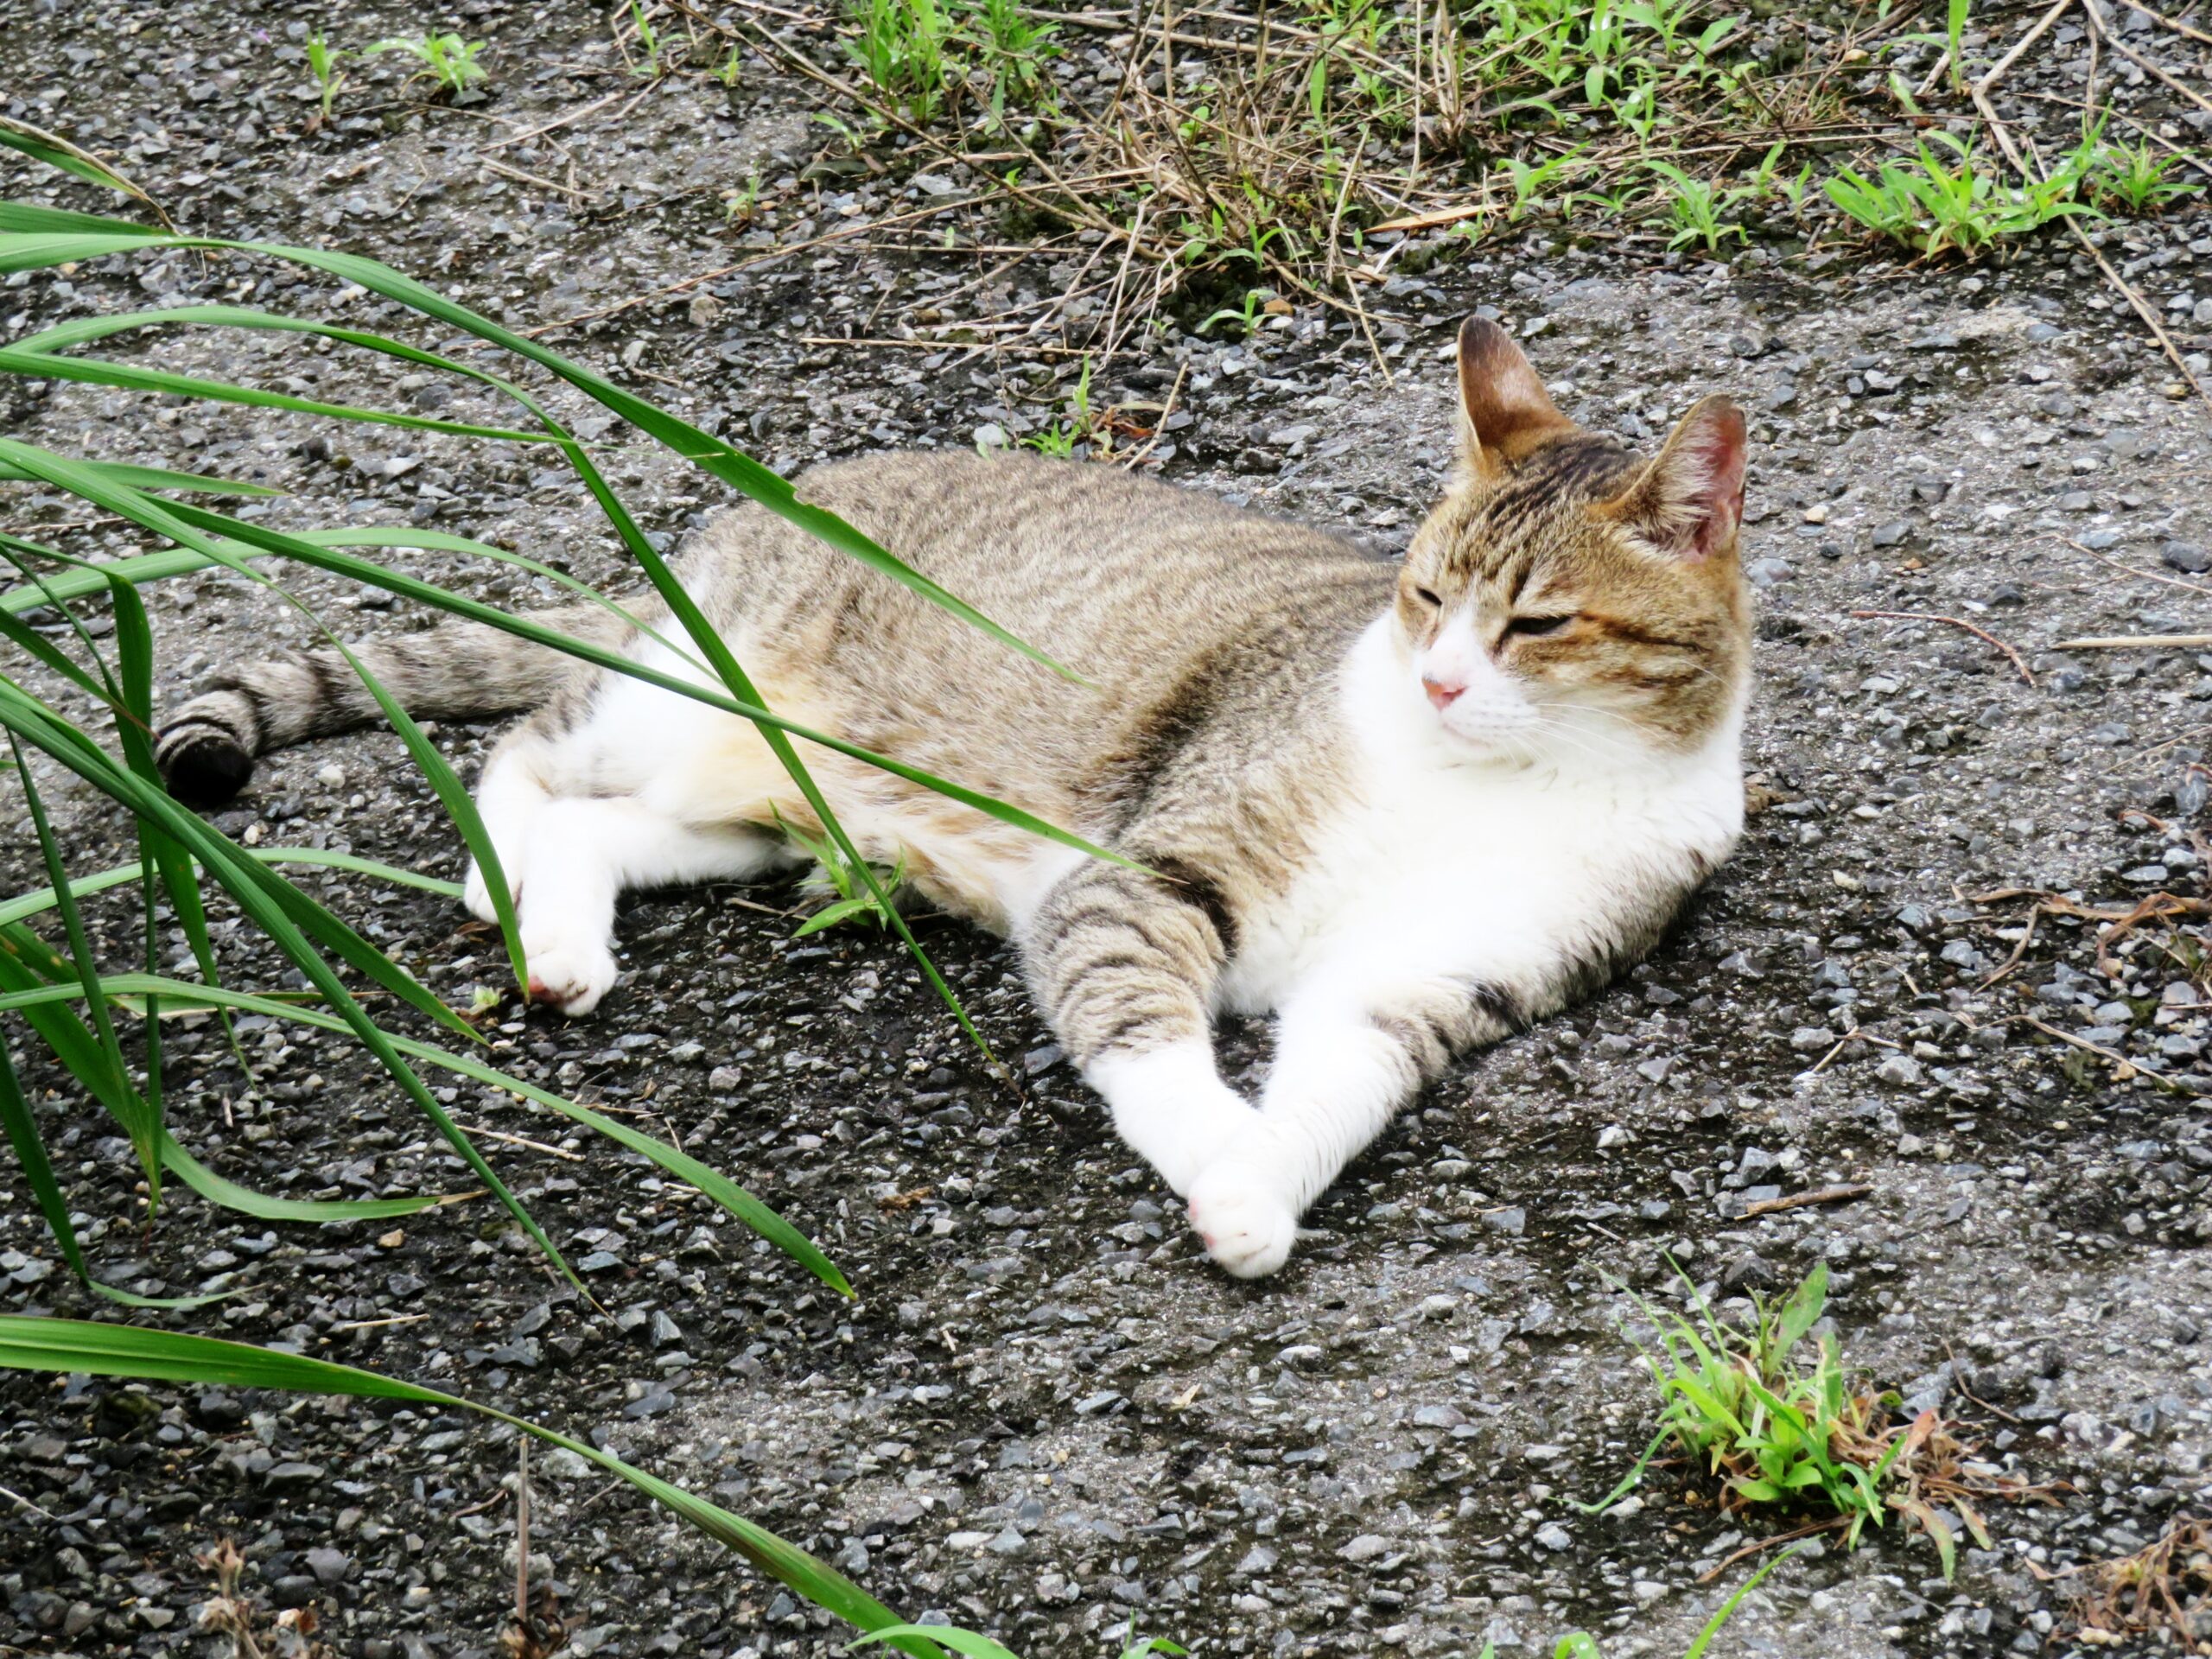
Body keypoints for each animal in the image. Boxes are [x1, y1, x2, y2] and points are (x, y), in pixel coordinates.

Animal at [156, 325, 1751, 1282]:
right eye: (1423, 596)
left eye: (1536, 626)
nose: (1435, 680)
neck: (1495, 779)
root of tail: (736, 520)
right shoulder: (1148, 875)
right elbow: (1147, 1036)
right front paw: (1213, 1149)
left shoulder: (1427, 982)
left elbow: (1331, 1094)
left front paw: (1257, 1191)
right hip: (689, 699)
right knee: (528, 753)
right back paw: (496, 875)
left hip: (762, 814)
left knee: (602, 829)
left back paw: (561, 944)